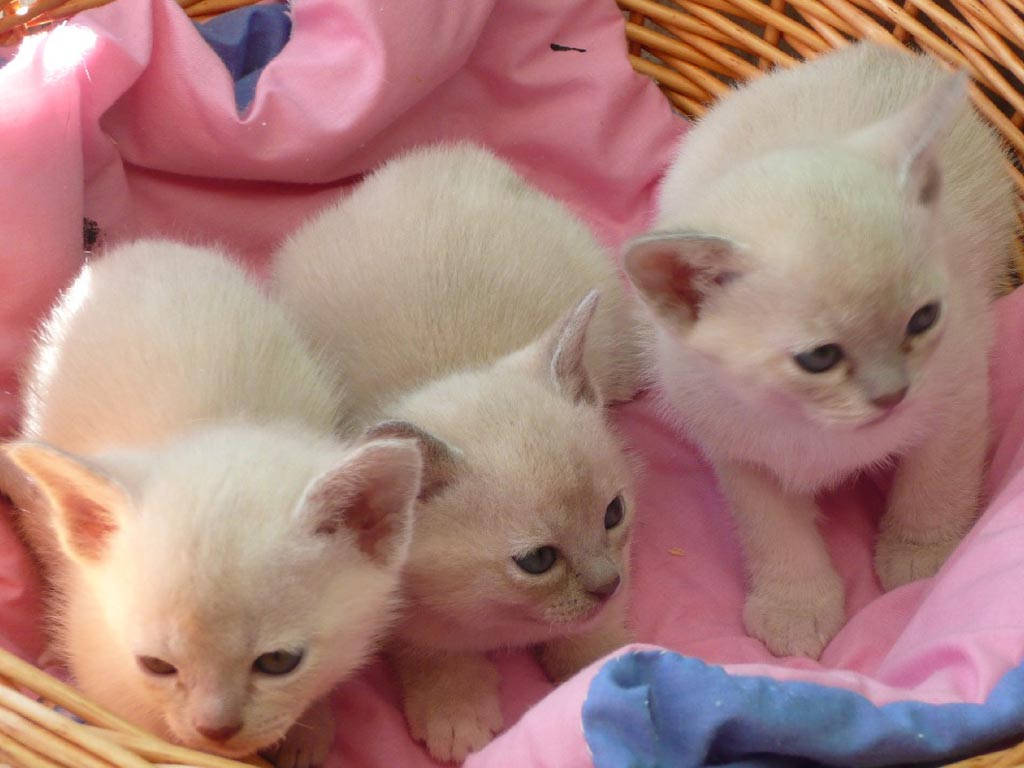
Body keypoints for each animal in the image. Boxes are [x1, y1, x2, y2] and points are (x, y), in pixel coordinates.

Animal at [0, 241, 423, 768]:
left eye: (278, 662)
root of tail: (147, 246)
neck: (205, 422)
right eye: (156, 665)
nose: (216, 728)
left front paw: (309, 728)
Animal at [272, 144, 638, 765]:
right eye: (537, 561)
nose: (607, 584)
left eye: (613, 514)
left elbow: (588, 635)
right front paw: (454, 707)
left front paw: (598, 660)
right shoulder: (385, 595)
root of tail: (442, 154)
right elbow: (428, 646)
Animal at [622, 45, 1015, 663]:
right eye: (819, 358)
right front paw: (796, 607)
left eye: (923, 319)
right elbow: (772, 529)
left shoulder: (958, 383)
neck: (816, 429)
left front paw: (923, 552)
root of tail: (881, 51)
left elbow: (937, 478)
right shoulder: (735, 447)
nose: (893, 394)